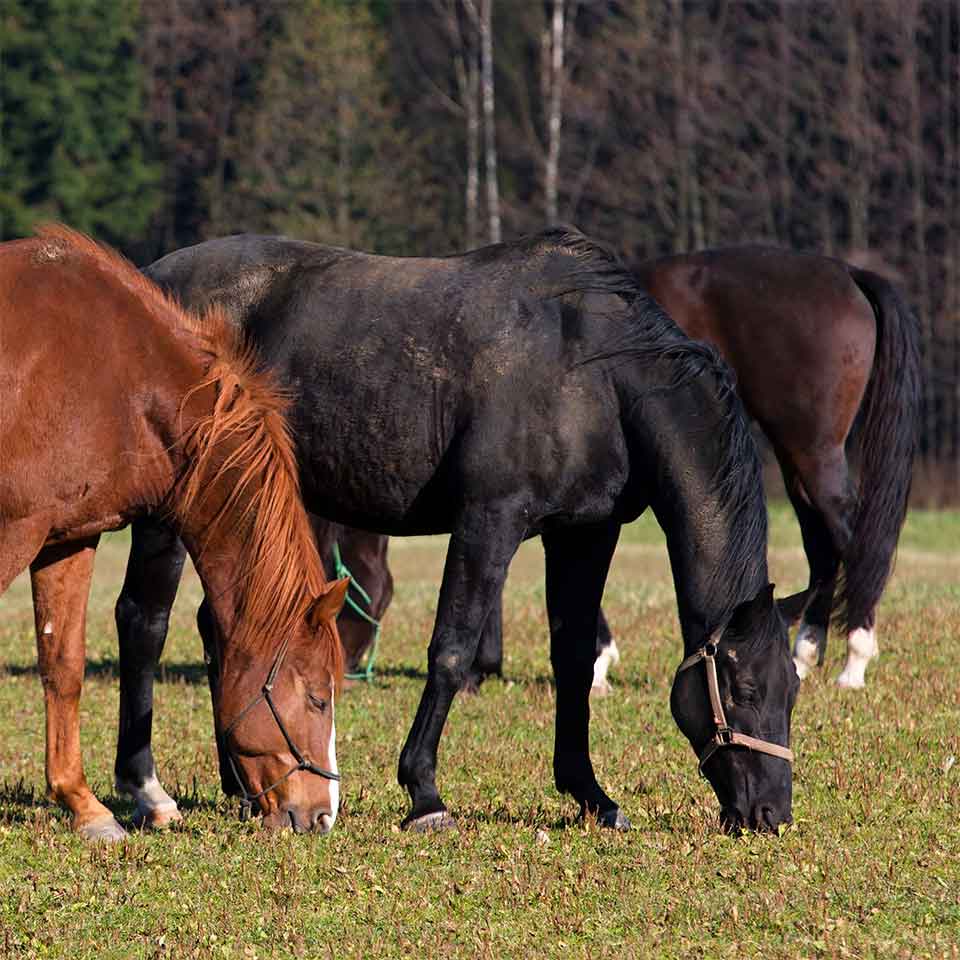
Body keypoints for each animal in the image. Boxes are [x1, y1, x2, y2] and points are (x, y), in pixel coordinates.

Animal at [0, 225, 344, 840]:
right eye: (317, 698)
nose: (323, 814)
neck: (114, 373)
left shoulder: (67, 537)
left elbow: (63, 666)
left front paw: (85, 806)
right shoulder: (13, 530)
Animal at [114, 227, 804, 832]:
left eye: (792, 689)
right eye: (742, 688)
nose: (771, 813)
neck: (594, 372)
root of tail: (151, 280)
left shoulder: (584, 534)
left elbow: (573, 658)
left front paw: (591, 794)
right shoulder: (488, 521)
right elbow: (450, 649)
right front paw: (424, 794)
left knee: (222, 628)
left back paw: (240, 785)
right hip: (171, 511)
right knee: (143, 622)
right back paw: (148, 791)